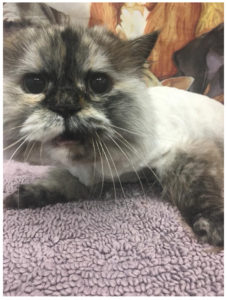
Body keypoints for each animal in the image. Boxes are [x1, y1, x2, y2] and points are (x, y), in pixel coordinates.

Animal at [3, 12, 223, 246]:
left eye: (99, 83)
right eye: (34, 84)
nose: (65, 106)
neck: (91, 163)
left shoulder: (185, 151)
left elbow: (197, 189)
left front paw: (213, 226)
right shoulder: (82, 177)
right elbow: (61, 182)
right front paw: (26, 196)